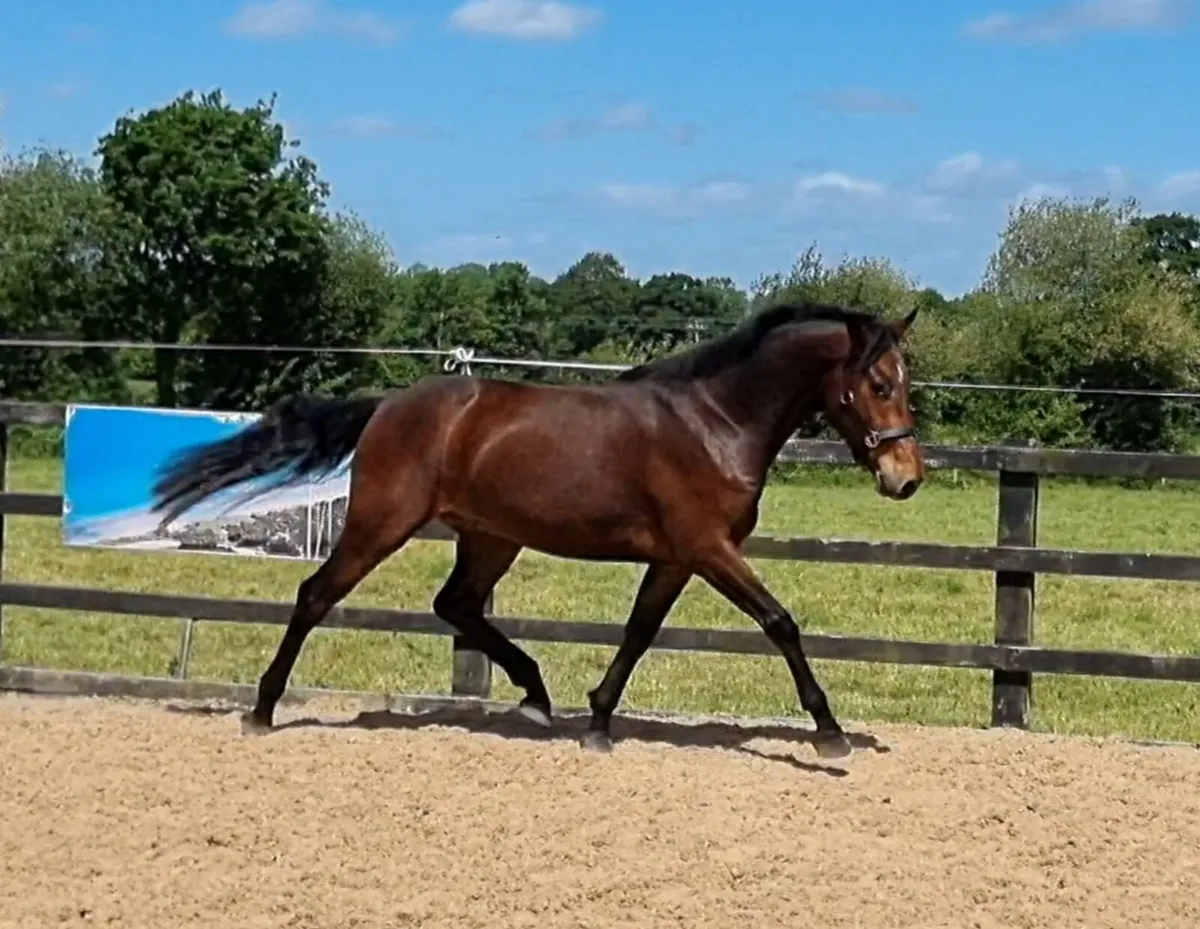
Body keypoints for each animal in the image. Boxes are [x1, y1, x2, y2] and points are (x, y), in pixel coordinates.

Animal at [150, 299, 925, 758]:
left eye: (905, 381)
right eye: (879, 383)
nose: (906, 477)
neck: (713, 422)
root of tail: (390, 405)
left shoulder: (678, 558)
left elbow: (639, 632)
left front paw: (600, 721)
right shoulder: (709, 548)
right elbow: (779, 622)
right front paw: (829, 732)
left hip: (492, 536)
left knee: (456, 605)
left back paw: (536, 695)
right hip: (382, 522)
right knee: (316, 595)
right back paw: (262, 708)